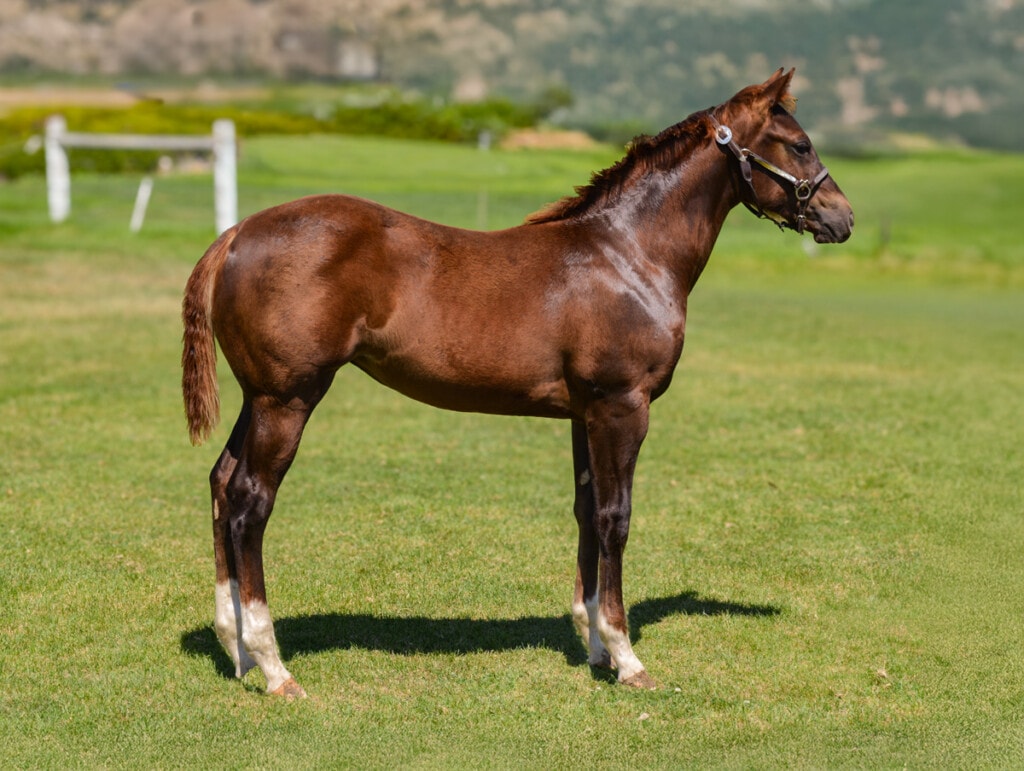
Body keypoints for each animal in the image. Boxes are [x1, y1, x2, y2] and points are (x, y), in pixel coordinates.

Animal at [182, 69, 853, 697]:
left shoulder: (585, 414)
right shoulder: (622, 407)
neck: (628, 256)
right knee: (250, 503)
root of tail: (236, 235)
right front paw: (627, 657)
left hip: (259, 399)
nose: (842, 218)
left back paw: (236, 652)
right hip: (287, 400)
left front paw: (595, 648)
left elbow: (586, 512)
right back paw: (274, 666)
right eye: (799, 144)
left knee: (221, 484)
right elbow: (616, 517)